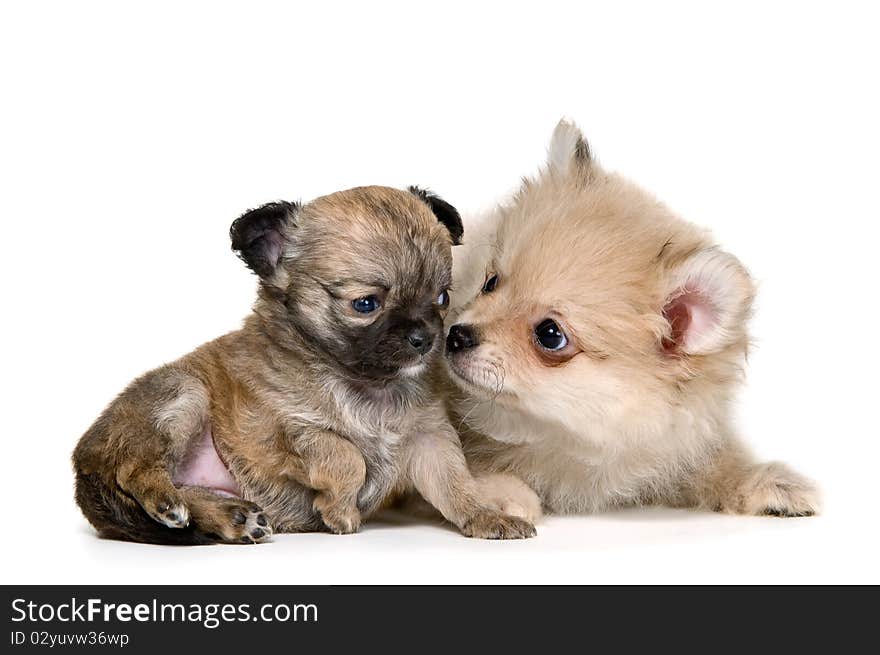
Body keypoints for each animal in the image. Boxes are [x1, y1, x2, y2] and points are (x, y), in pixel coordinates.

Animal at [70, 184, 536, 544]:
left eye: (441, 298)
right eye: (365, 304)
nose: (425, 338)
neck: (368, 386)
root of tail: (83, 466)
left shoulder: (429, 440)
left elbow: (455, 486)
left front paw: (484, 516)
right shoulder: (283, 431)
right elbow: (346, 455)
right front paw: (340, 511)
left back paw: (232, 517)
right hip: (183, 394)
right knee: (134, 469)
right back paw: (170, 502)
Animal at [450, 119, 820, 516]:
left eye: (550, 334)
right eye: (490, 282)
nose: (455, 335)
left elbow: (714, 463)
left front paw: (766, 481)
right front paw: (498, 493)